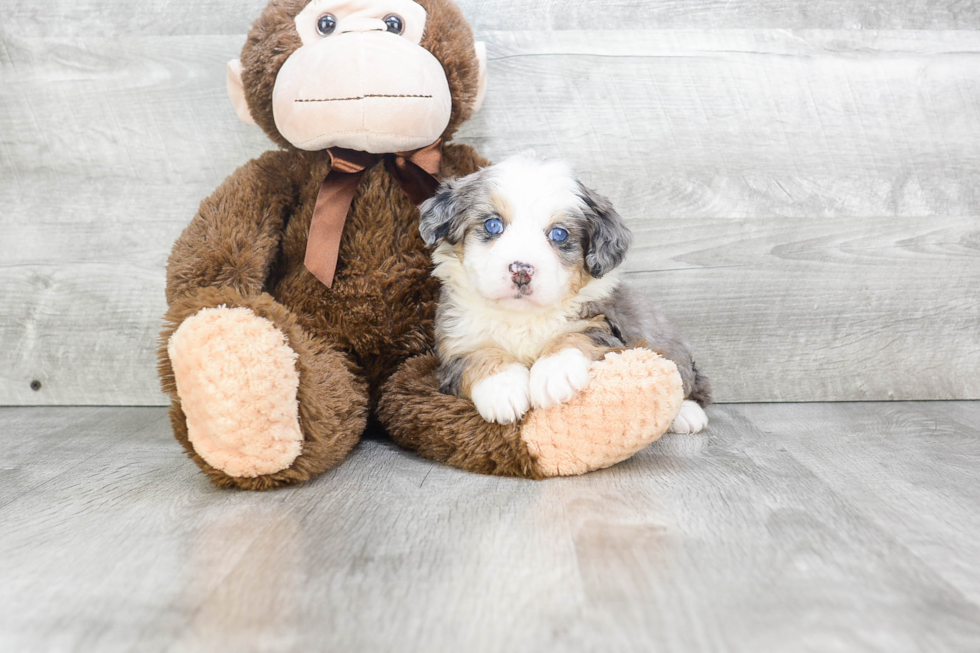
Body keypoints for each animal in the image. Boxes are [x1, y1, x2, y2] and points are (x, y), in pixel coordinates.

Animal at [418, 153, 708, 432]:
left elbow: (575, 334)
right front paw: (503, 389)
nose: (521, 270)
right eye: (492, 225)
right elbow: (477, 354)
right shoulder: (453, 345)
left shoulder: (606, 325)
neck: (522, 318)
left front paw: (554, 373)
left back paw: (687, 414)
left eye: (559, 234)